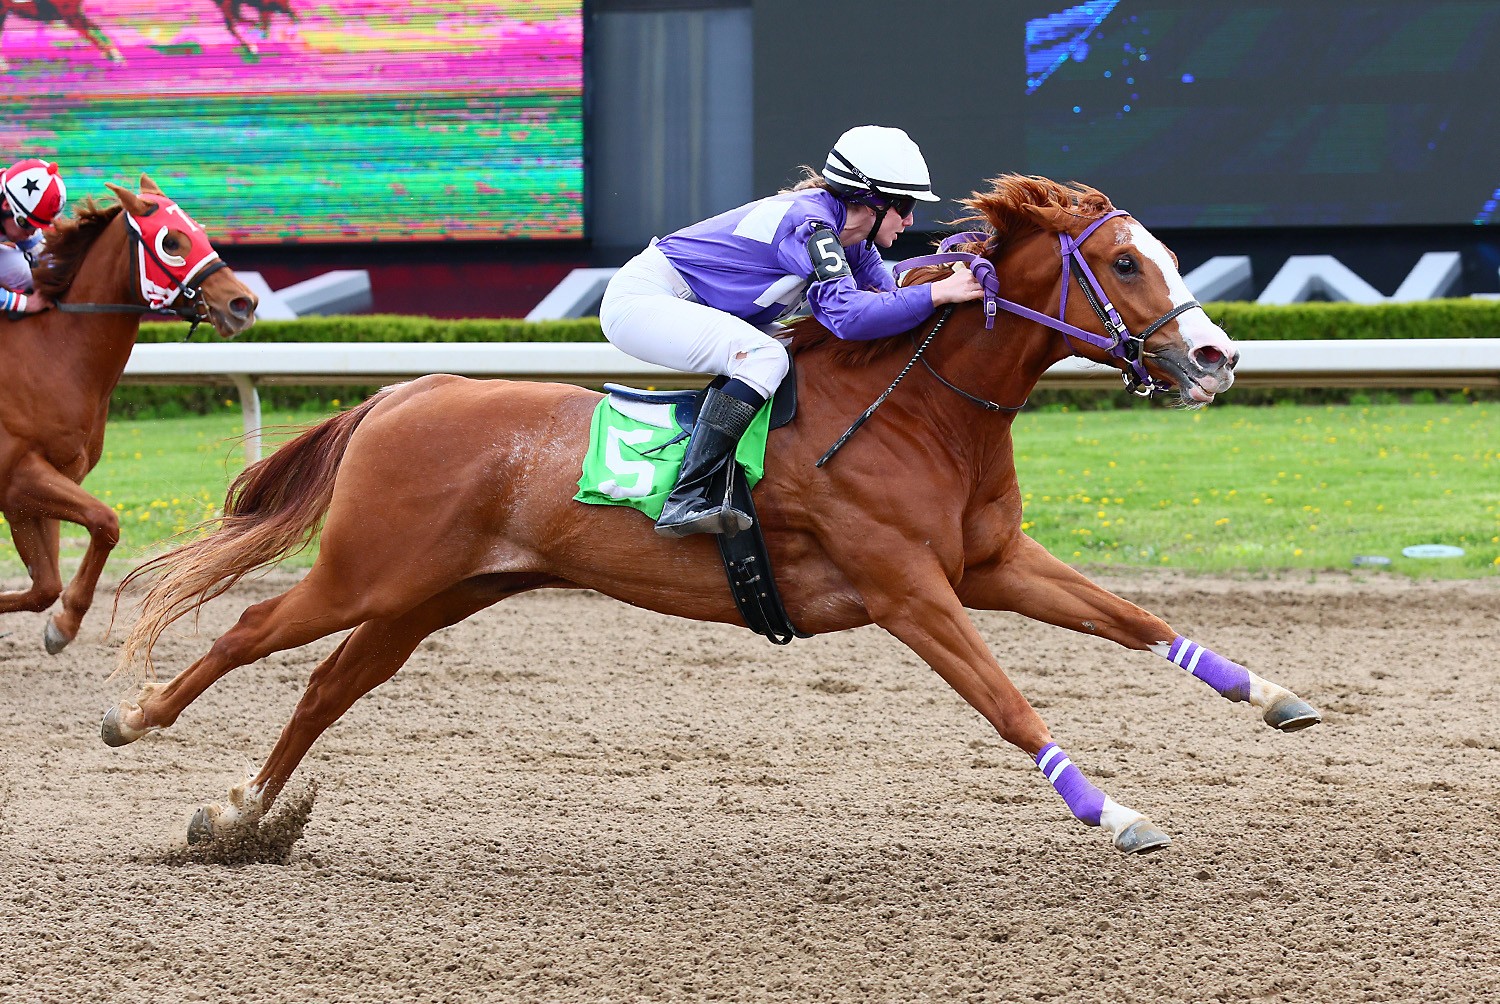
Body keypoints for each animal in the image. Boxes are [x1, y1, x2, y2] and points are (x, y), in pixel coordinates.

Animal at [0, 175, 256, 651]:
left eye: (200, 230)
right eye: (172, 241)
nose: (242, 303)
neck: (51, 354)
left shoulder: (43, 486)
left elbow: (46, 586)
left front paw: (61, 626)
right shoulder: (17, 476)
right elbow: (107, 521)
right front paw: (64, 624)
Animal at [105, 176, 1320, 852]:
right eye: (1122, 260)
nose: (1217, 358)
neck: (917, 408)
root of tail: (411, 391)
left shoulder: (995, 562)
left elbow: (1135, 619)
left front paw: (1275, 696)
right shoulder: (910, 591)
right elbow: (1007, 700)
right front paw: (1114, 814)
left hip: (433, 595)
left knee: (326, 685)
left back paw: (240, 815)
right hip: (367, 570)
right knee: (250, 631)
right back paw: (137, 718)